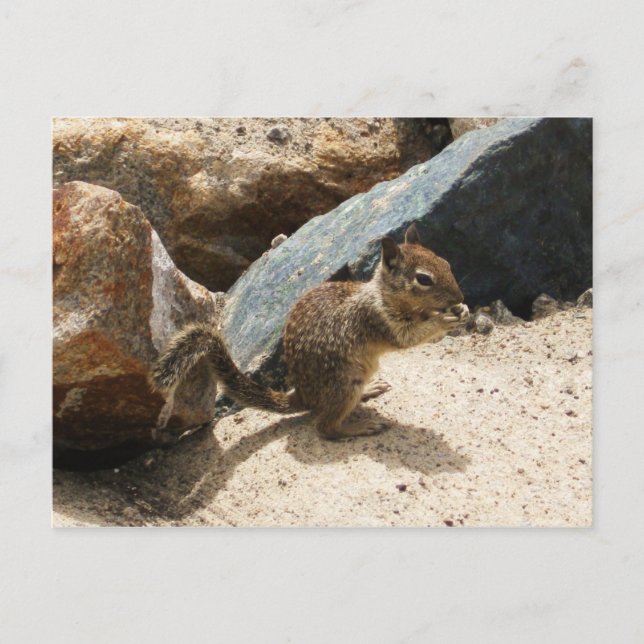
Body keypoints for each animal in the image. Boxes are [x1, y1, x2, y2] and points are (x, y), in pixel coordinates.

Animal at [153, 224, 469, 439]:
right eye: (423, 279)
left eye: (446, 263)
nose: (460, 295)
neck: (381, 295)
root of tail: (301, 397)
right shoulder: (380, 321)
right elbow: (408, 338)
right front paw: (445, 320)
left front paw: (462, 311)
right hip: (345, 384)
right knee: (325, 427)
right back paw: (361, 426)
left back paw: (371, 391)